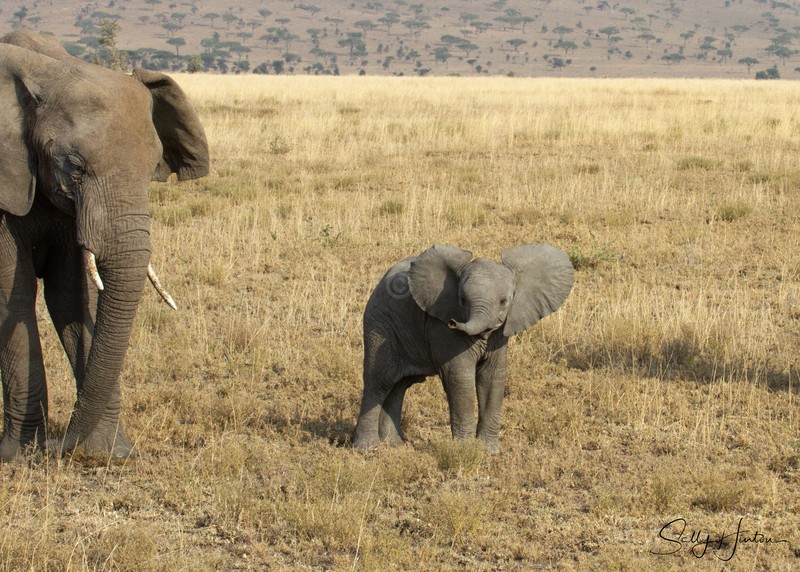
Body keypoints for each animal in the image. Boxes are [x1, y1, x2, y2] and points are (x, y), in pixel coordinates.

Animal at [0, 30, 209, 461]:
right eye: (75, 168)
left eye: (153, 168)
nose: (57, 446)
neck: (49, 70)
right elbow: (15, 295)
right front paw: (18, 456)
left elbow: (72, 298)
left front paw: (111, 452)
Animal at [353, 243, 573, 453]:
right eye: (462, 300)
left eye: (504, 301)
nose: (453, 323)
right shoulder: (440, 325)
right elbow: (459, 376)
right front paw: (465, 449)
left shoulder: (500, 333)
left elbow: (492, 376)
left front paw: (489, 451)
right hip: (380, 325)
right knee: (380, 381)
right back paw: (368, 449)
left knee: (399, 386)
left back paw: (394, 446)